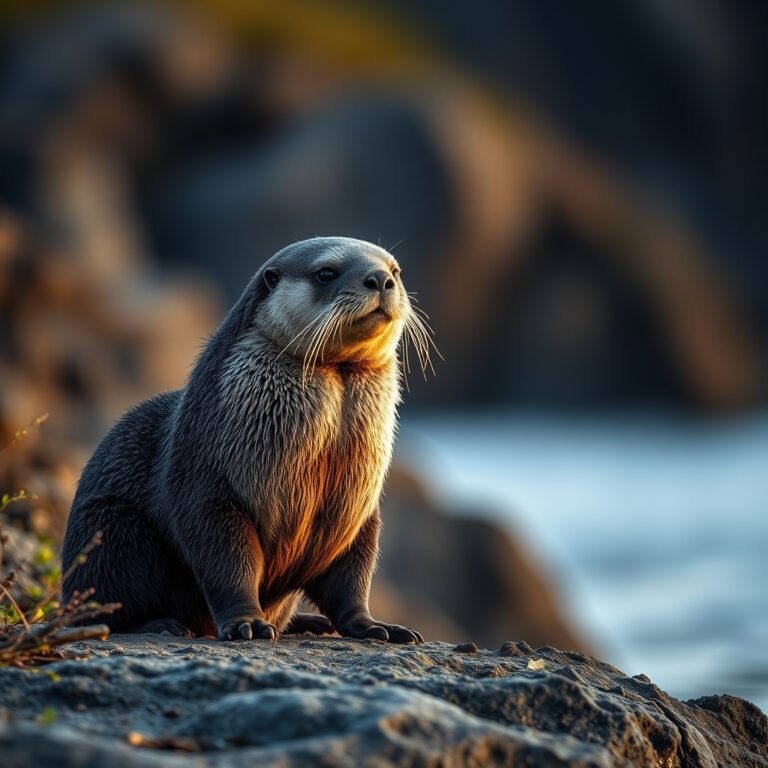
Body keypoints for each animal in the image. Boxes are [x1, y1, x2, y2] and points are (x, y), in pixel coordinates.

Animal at [61, 237, 435, 642]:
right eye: (326, 273)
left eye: (396, 270)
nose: (380, 279)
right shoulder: (208, 481)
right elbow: (228, 563)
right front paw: (247, 623)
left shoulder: (359, 514)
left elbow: (352, 578)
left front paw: (375, 626)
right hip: (112, 528)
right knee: (98, 610)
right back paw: (160, 624)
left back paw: (306, 623)